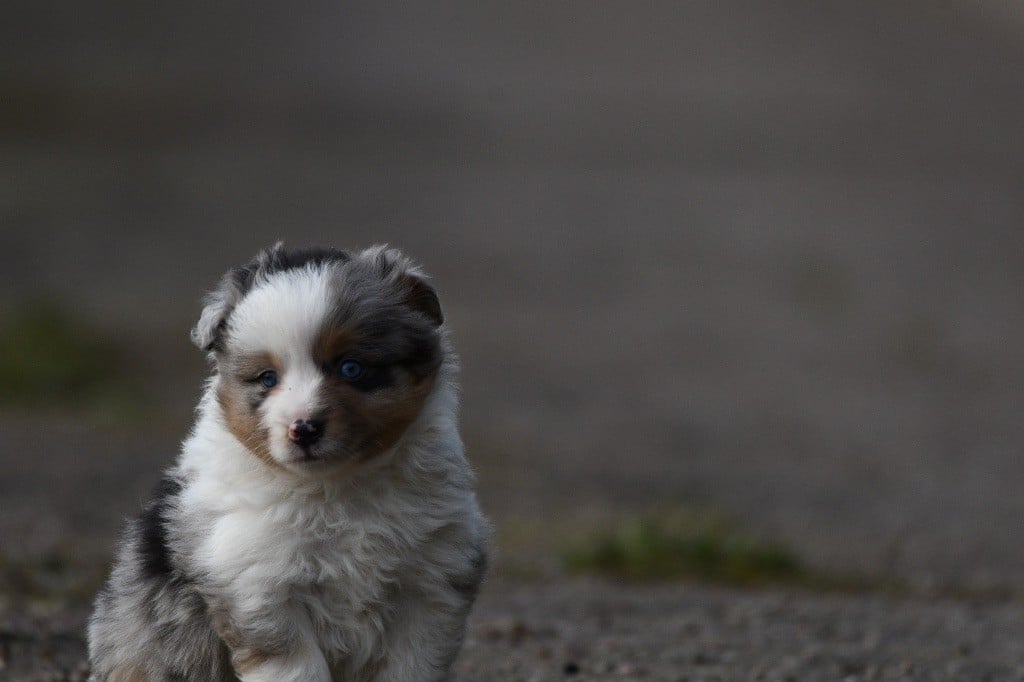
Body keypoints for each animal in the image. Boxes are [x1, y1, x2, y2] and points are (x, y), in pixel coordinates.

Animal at [87, 244, 487, 679]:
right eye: (267, 378)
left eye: (351, 367)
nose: (304, 429)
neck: (335, 490)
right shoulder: (260, 588)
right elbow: (297, 666)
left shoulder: (432, 582)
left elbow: (411, 663)